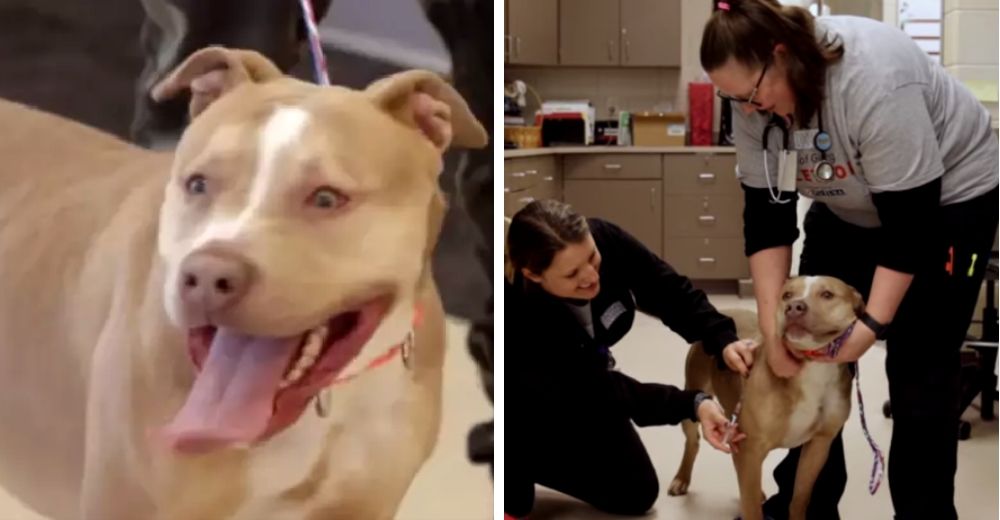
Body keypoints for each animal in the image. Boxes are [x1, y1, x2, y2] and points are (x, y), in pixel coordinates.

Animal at [668, 276, 864, 520]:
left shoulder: (818, 446)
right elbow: (752, 509)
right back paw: (681, 478)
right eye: (787, 295)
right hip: (694, 392)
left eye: (827, 294)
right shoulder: (751, 449)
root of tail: (724, 311)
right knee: (693, 441)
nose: (794, 307)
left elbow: (799, 498)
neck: (812, 367)